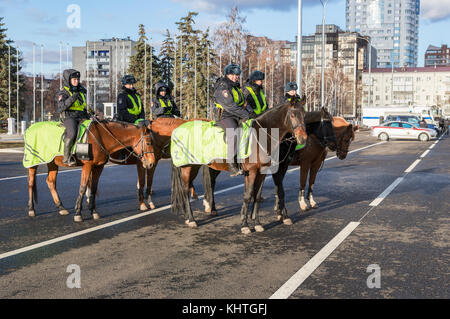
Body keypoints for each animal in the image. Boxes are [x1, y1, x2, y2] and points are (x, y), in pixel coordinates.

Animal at [28, 120, 156, 222]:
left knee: (51, 182)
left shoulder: (98, 167)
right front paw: (78, 213)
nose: (151, 163)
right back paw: (31, 209)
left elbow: (93, 188)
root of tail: (31, 127)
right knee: (31, 183)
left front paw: (93, 211)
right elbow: (83, 187)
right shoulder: (87, 166)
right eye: (148, 143)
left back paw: (61, 208)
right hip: (32, 162)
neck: (101, 137)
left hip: (52, 162)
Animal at [171, 100, 308, 235]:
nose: (303, 138)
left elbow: (257, 196)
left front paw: (257, 223)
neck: (261, 135)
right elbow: (248, 196)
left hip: (197, 166)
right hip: (188, 167)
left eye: (304, 114)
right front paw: (245, 225)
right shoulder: (251, 172)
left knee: (205, 185)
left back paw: (194, 215)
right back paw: (191, 219)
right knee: (185, 190)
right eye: (292, 115)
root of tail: (178, 128)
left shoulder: (262, 172)